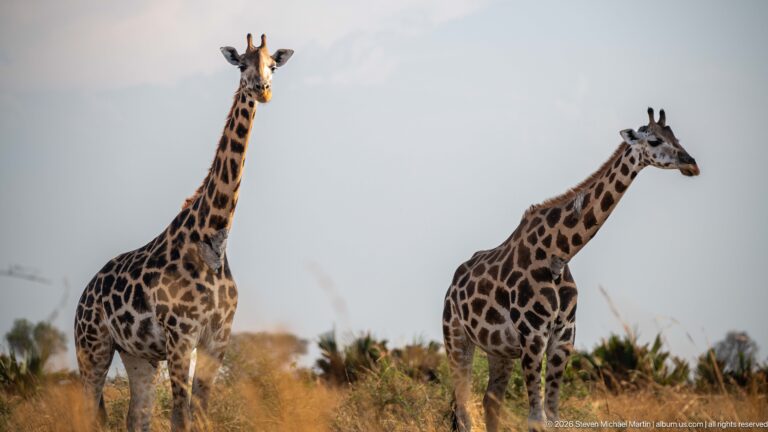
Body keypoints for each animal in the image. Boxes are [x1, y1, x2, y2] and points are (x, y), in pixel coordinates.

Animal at [74, 33, 293, 431]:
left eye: (273, 65)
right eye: (242, 64)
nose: (263, 90)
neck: (213, 240)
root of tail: (85, 292)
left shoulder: (217, 339)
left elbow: (202, 415)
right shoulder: (180, 336)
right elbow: (181, 416)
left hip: (138, 356)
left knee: (136, 416)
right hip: (92, 347)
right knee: (89, 412)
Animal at [442, 108, 699, 431]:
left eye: (676, 137)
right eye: (654, 140)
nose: (691, 163)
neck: (558, 254)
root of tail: (452, 286)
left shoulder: (563, 337)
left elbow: (553, 415)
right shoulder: (533, 335)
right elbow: (537, 418)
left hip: (498, 350)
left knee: (491, 401)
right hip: (456, 338)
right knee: (464, 408)